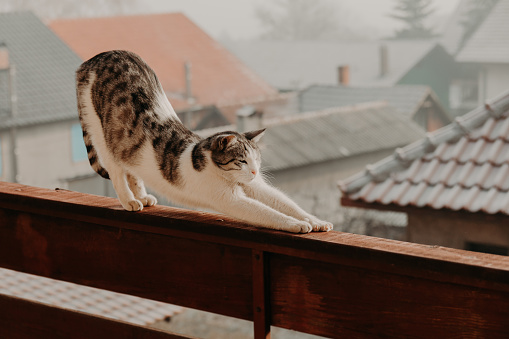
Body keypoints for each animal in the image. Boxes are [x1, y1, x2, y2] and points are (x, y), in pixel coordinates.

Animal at [73, 50, 332, 235]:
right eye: (241, 160)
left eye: (256, 159)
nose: (255, 171)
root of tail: (94, 59)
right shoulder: (231, 200)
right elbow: (270, 213)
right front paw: (296, 224)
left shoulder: (258, 187)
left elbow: (287, 204)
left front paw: (315, 220)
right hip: (102, 135)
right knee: (117, 171)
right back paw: (129, 200)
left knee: (131, 169)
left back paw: (143, 197)